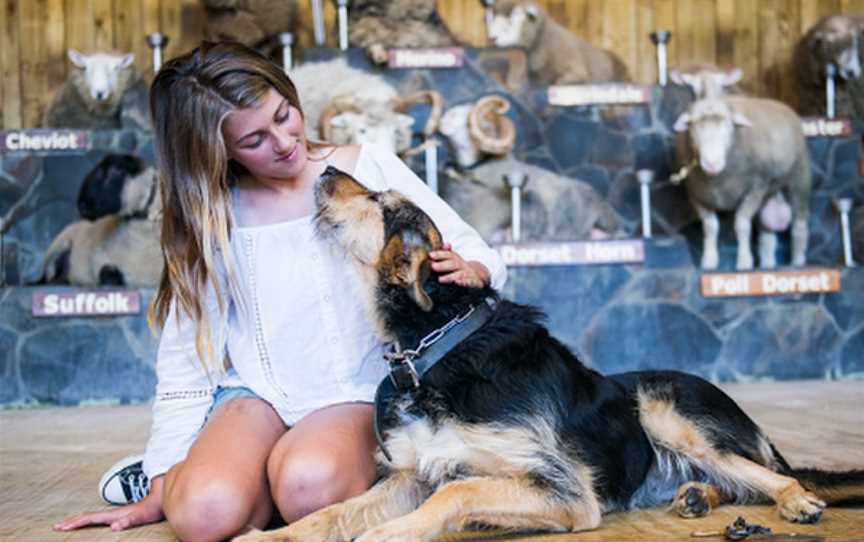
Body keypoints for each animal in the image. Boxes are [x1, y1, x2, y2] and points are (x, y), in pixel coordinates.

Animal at [236, 168, 864, 540]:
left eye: (381, 201)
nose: (324, 167)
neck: (436, 349)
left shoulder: (564, 489)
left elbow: (459, 488)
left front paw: (392, 534)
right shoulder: (410, 475)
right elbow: (331, 512)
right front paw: (270, 536)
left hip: (665, 409)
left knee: (771, 475)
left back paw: (794, 502)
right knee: (735, 480)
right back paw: (693, 496)